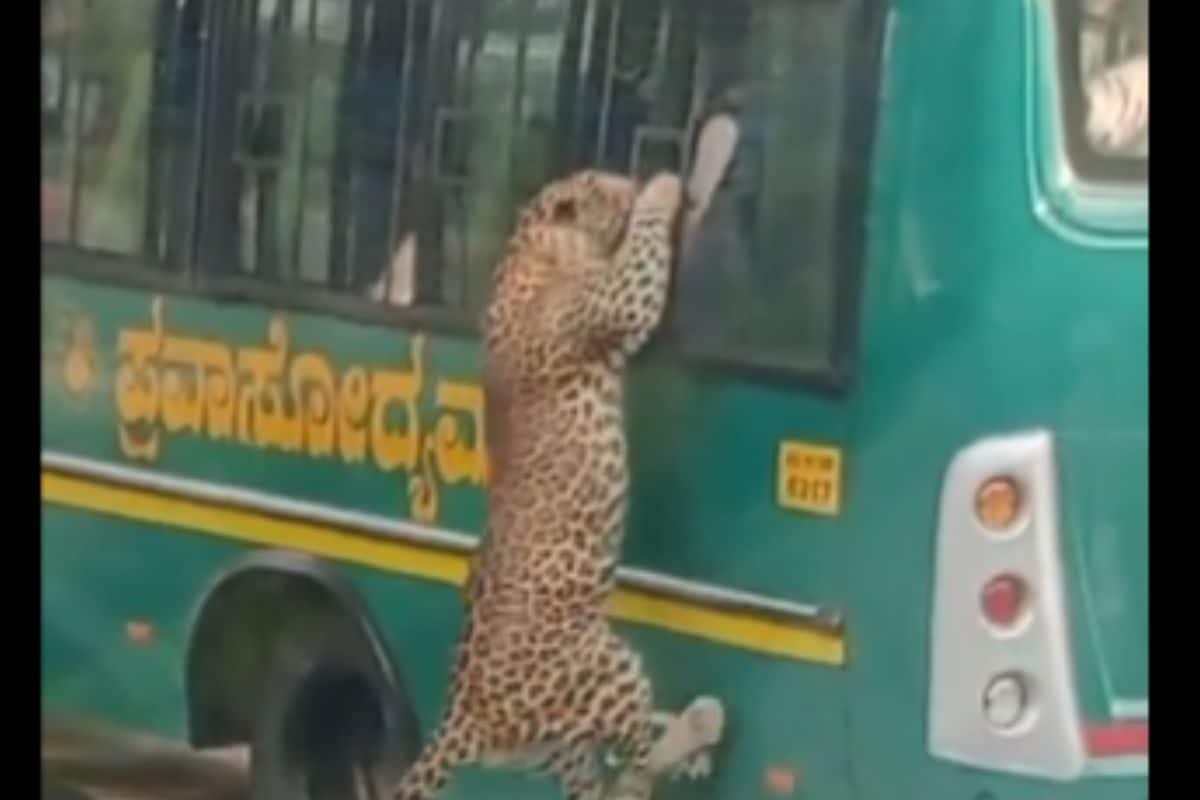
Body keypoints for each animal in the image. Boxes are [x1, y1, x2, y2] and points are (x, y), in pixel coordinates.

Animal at [389, 170, 725, 800]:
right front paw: (661, 190)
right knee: (634, 765)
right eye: (610, 189)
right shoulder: (618, 300)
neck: (531, 241)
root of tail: (462, 717)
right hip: (607, 668)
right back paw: (687, 740)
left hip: (558, 743)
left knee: (602, 782)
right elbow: (641, 259)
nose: (631, 180)